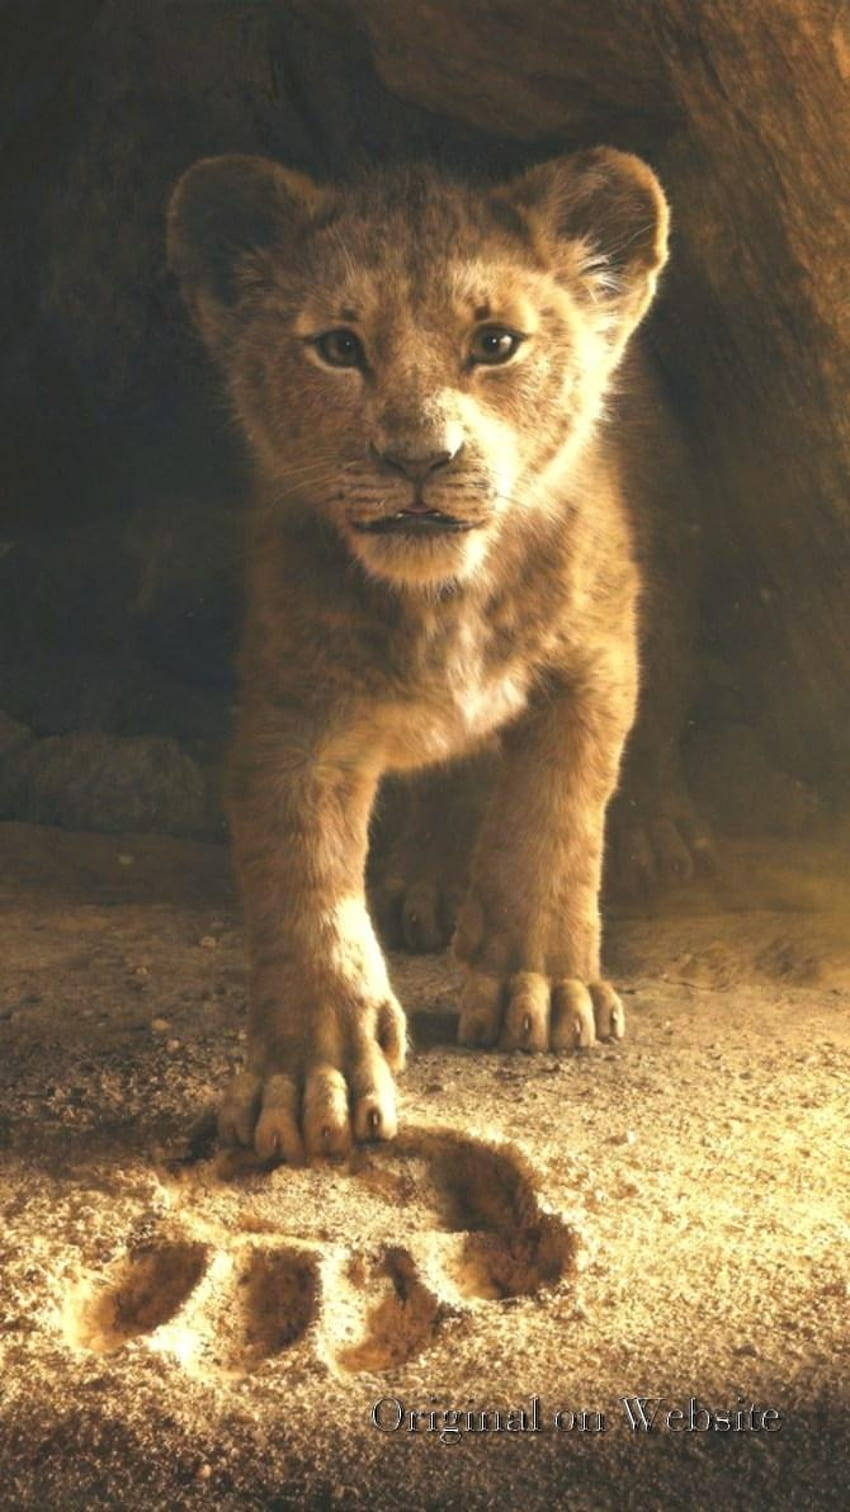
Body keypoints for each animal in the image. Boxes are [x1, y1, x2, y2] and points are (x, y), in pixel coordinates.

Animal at [167, 147, 704, 1163]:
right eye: (339, 348)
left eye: (495, 343)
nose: (420, 457)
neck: (443, 598)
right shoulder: (295, 713)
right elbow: (303, 885)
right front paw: (311, 1075)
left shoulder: (593, 661)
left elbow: (555, 818)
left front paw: (543, 986)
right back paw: (432, 878)